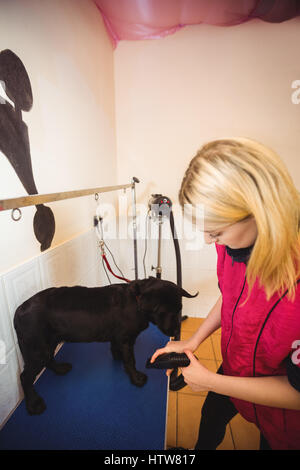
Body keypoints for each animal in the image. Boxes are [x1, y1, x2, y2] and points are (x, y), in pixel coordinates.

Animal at [14, 276, 197, 414]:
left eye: (179, 308)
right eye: (164, 311)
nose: (176, 330)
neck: (136, 300)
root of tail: (19, 310)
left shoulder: (118, 338)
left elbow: (116, 349)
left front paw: (118, 359)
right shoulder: (126, 340)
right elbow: (130, 360)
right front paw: (136, 378)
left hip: (48, 343)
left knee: (49, 359)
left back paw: (60, 369)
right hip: (38, 349)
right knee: (25, 377)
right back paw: (33, 404)